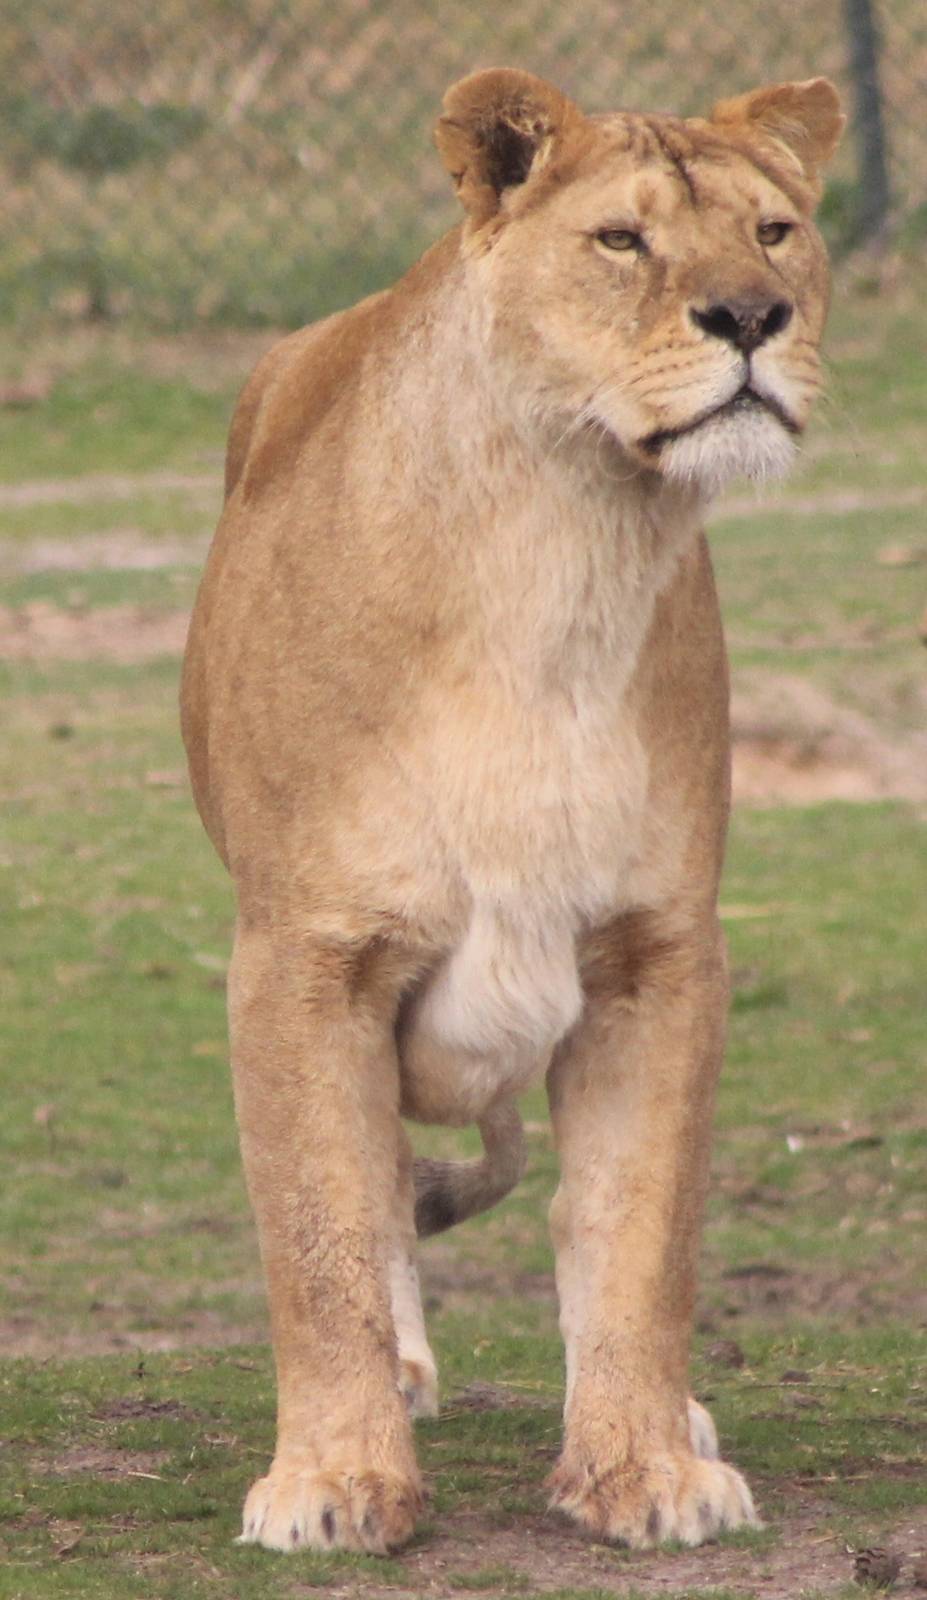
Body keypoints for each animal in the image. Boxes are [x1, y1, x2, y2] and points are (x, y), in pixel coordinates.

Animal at [180, 67, 843, 1554]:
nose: (752, 320)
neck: (565, 539)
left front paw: (642, 1462)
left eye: (772, 232)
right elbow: (321, 1224)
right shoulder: (303, 956)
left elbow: (640, 1226)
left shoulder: (659, 952)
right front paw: (333, 1476)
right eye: (621, 241)